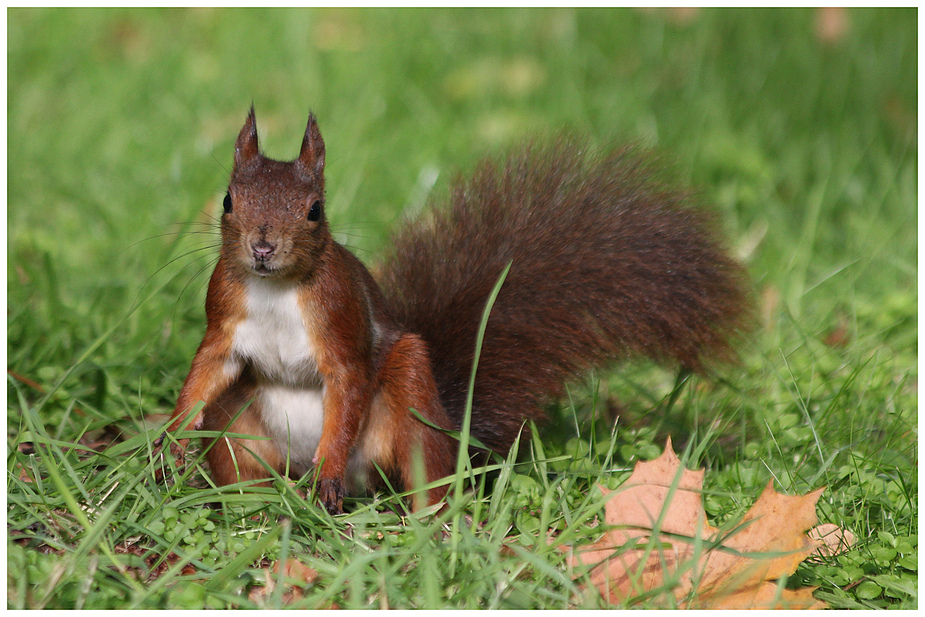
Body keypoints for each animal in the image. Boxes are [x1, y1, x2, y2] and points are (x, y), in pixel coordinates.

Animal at [162, 108, 748, 512]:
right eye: (228, 201)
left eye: (314, 211)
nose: (262, 247)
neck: (276, 289)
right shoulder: (224, 320)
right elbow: (206, 371)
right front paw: (169, 442)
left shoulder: (342, 326)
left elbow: (348, 382)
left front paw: (326, 471)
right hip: (240, 426)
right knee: (241, 460)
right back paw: (249, 507)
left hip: (409, 395)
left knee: (424, 466)